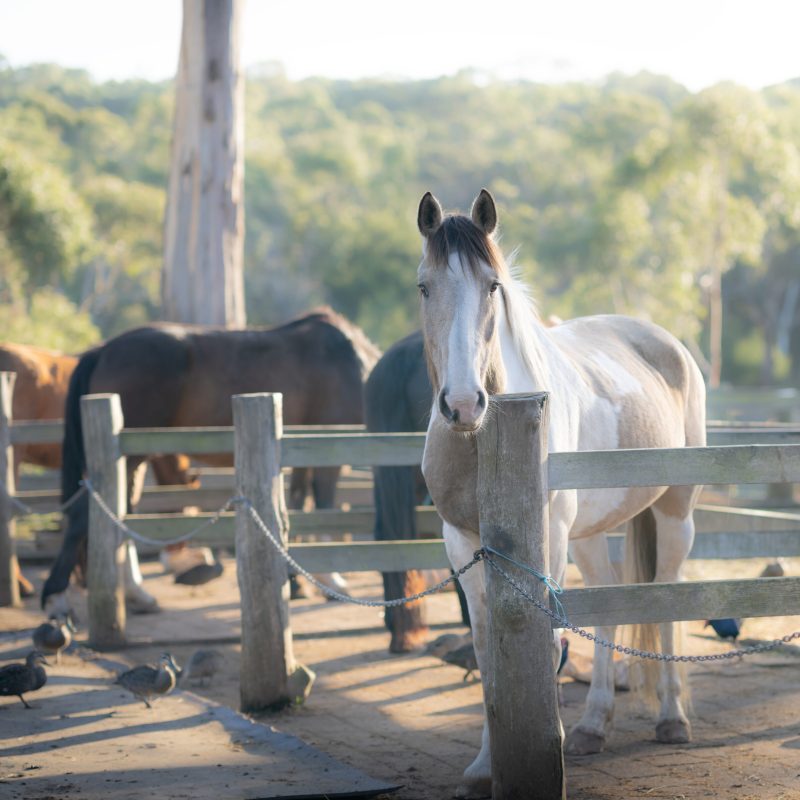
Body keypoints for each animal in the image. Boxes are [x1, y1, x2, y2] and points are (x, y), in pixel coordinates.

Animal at [41, 308, 381, 612]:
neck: (353, 359)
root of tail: (103, 350)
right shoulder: (331, 449)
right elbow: (324, 507)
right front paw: (333, 581)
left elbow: (299, 505)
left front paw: (297, 582)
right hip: (130, 456)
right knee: (87, 514)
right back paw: (57, 598)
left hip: (130, 459)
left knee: (119, 513)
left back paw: (137, 594)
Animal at [416, 189, 705, 798]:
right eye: (424, 286)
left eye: (492, 287)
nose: (463, 404)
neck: (482, 441)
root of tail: (669, 345)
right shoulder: (462, 542)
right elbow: (487, 651)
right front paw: (485, 766)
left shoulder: (546, 539)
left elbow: (546, 643)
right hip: (590, 534)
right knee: (609, 603)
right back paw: (594, 725)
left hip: (674, 514)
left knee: (665, 601)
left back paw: (672, 719)